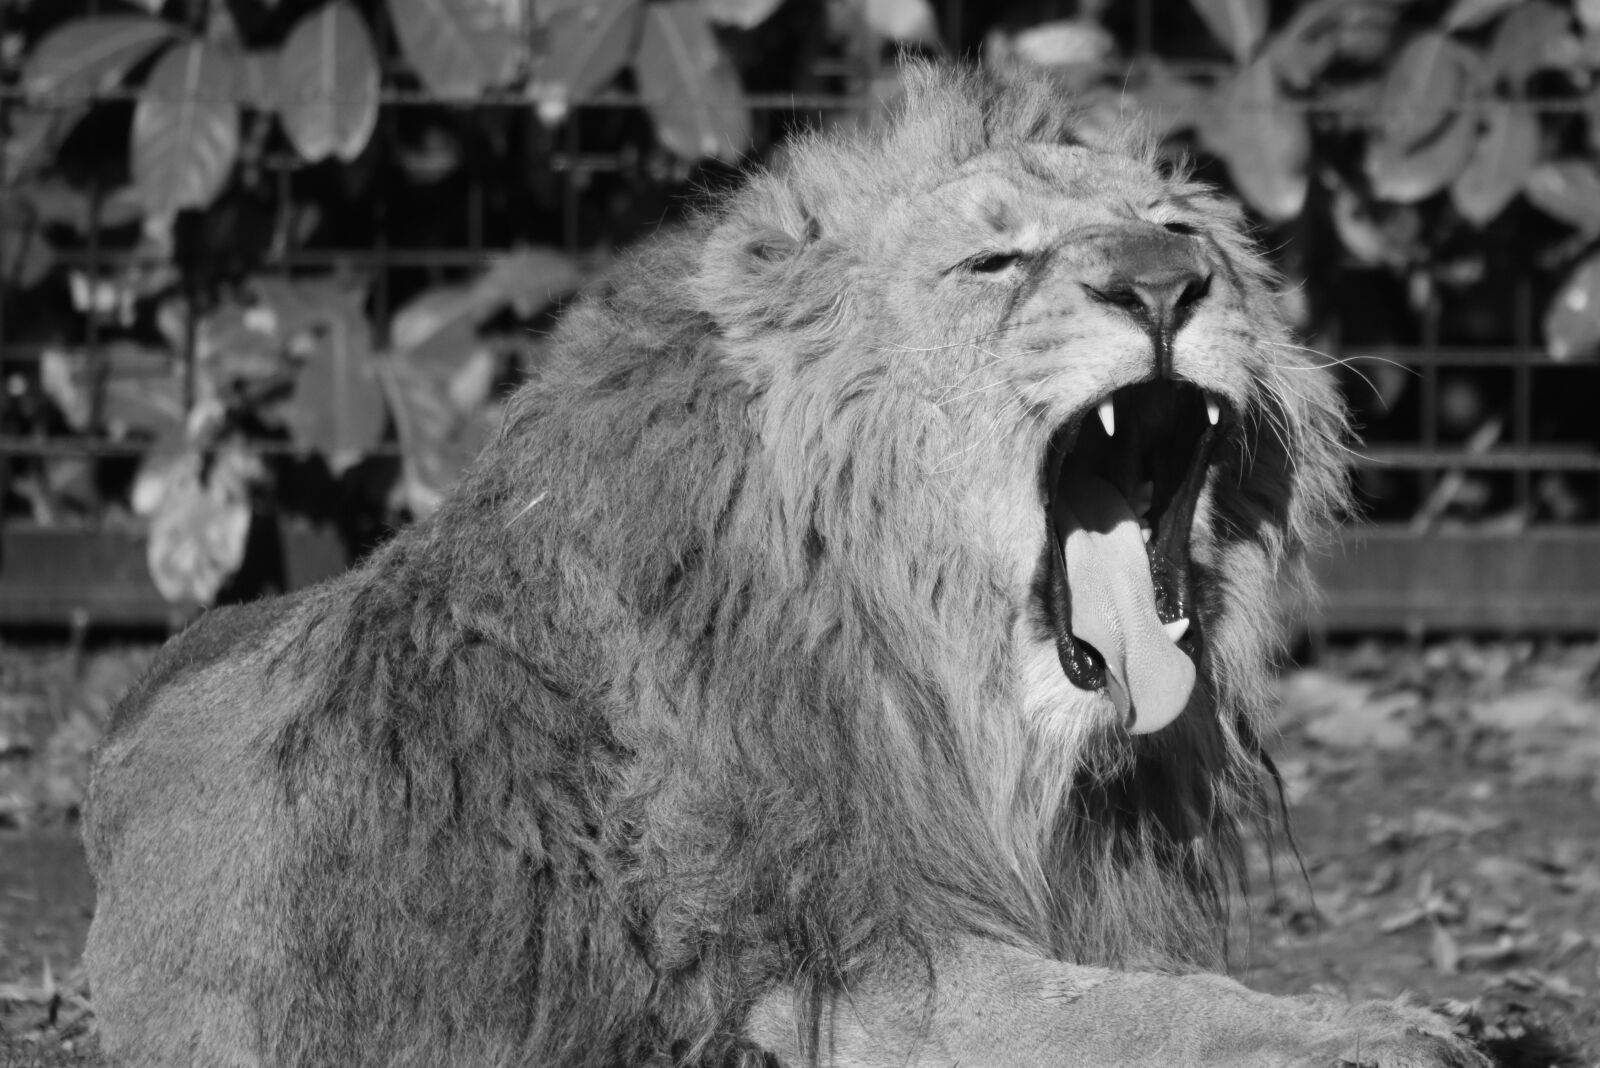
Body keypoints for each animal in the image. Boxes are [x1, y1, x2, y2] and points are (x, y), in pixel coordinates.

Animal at [82, 64, 1487, 1068]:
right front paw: (1390, 1032)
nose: (1163, 284)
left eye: (1179, 228)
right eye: (994, 260)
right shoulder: (858, 981)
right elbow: (1155, 1017)